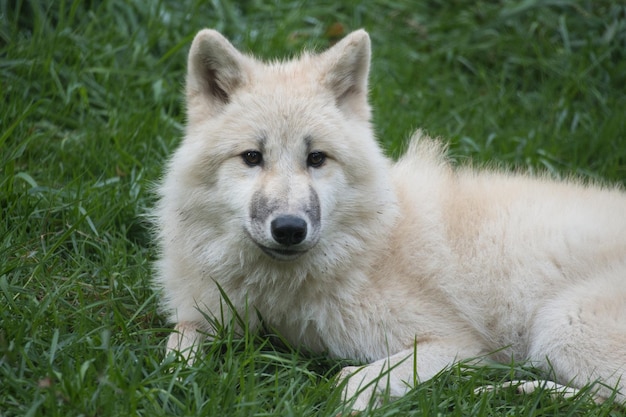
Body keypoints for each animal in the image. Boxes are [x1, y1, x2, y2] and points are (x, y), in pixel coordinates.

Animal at [152, 30, 624, 410]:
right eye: (252, 157)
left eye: (316, 159)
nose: (288, 229)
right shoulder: (201, 314)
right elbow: (175, 349)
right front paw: (176, 383)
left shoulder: (458, 346)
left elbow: (349, 383)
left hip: (561, 329)